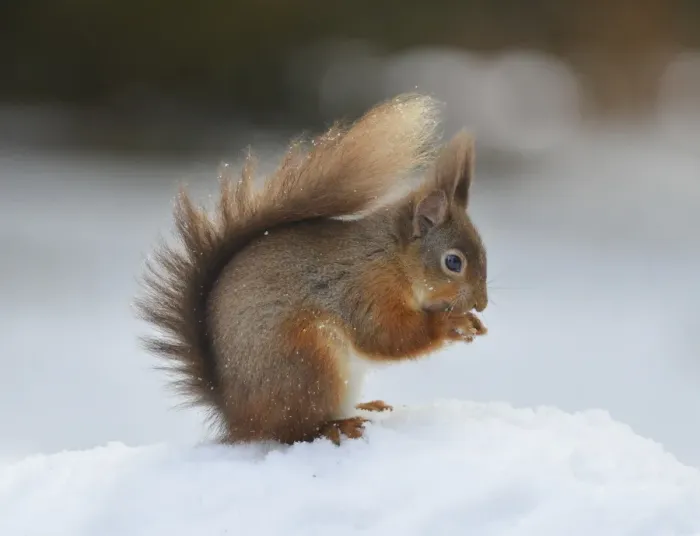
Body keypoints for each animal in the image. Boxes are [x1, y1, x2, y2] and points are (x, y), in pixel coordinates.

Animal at [136, 93, 488, 446]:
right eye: (453, 262)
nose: (481, 304)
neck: (391, 257)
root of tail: (237, 417)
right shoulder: (363, 288)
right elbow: (385, 335)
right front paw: (451, 324)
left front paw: (471, 322)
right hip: (309, 362)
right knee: (294, 431)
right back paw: (336, 426)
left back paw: (367, 407)